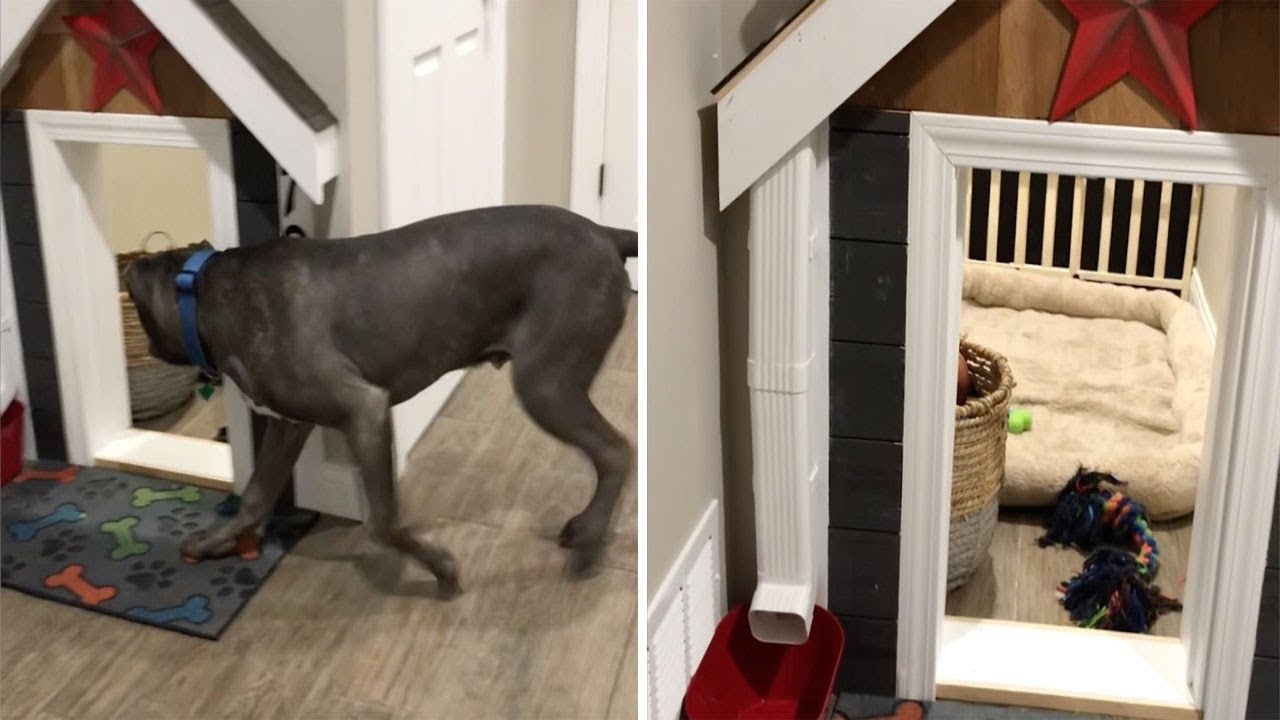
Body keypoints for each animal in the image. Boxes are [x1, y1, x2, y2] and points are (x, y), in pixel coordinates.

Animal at [124, 204, 634, 591]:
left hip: (546, 383)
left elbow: (382, 521)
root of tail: (604, 231)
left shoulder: (364, 408)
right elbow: (256, 494)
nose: (149, 347)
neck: (204, 295)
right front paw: (217, 540)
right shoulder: (289, 423)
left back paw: (589, 538)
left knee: (616, 450)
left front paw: (441, 567)